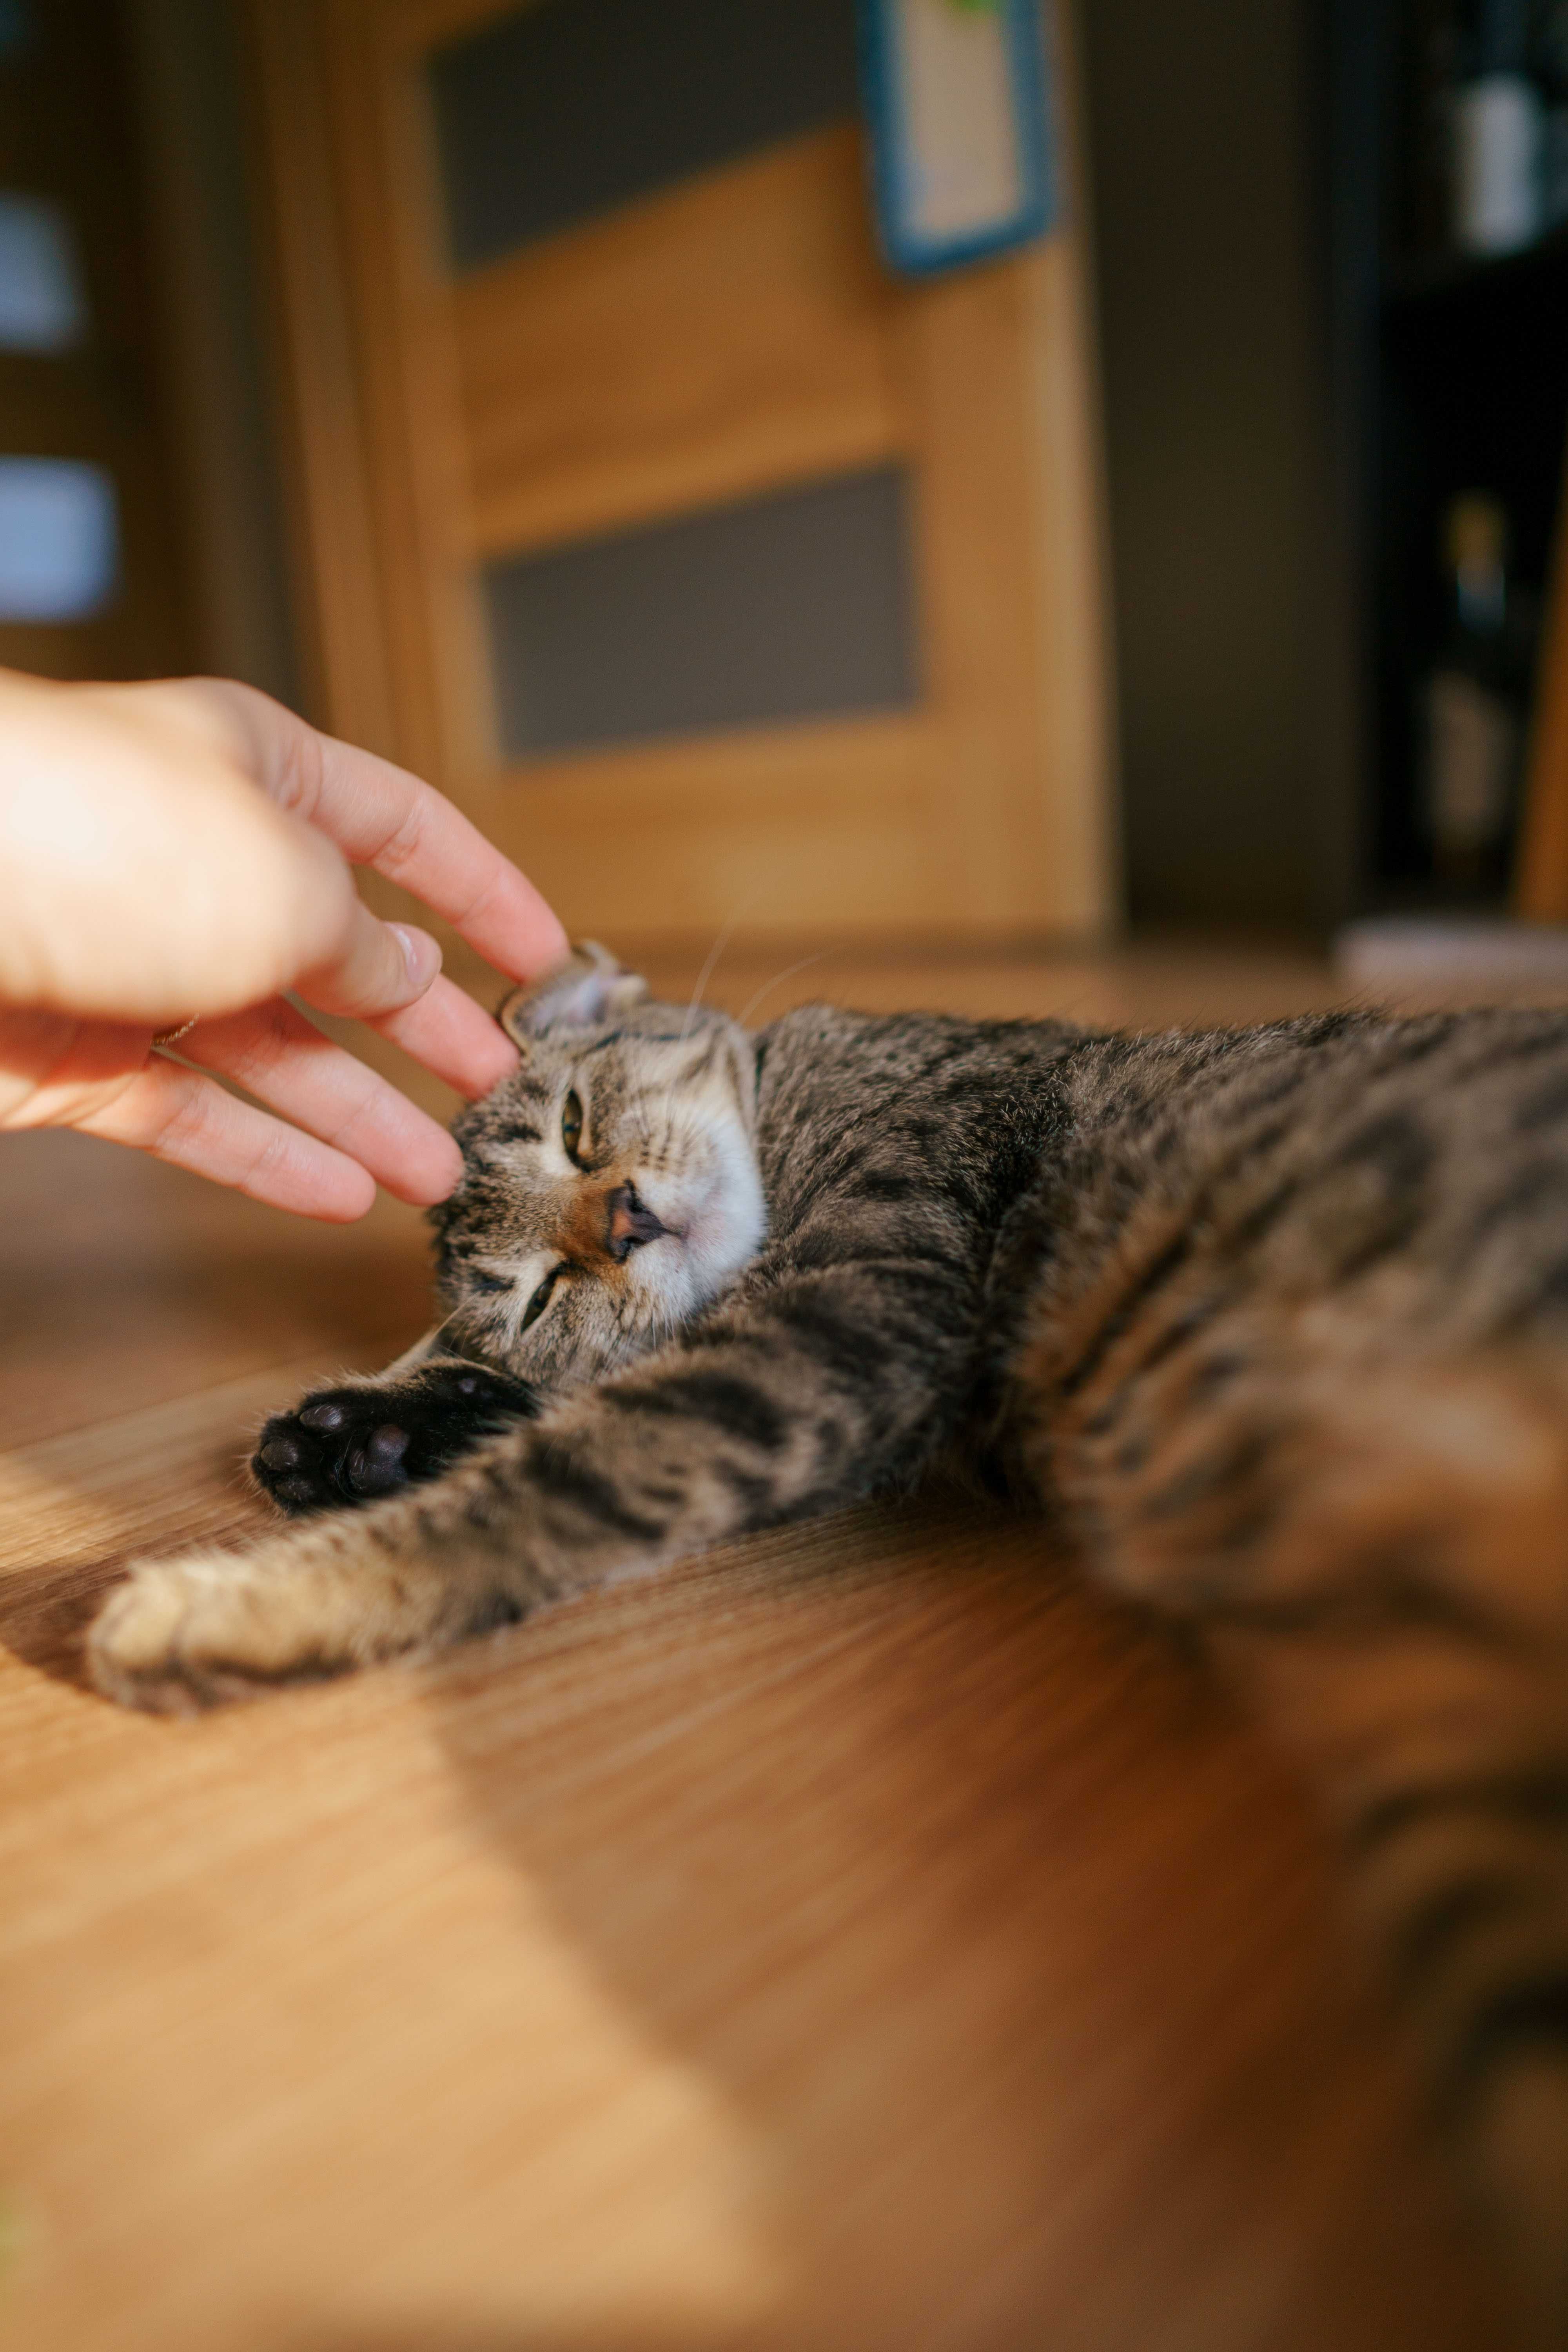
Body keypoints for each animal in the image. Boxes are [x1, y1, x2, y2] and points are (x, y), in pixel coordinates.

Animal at [89, 936, 1568, 2333]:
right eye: (531, 1288)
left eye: (573, 1122)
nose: (622, 1215)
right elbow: (546, 1412)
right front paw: (358, 1433)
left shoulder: (838, 1320)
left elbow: (554, 1477)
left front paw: (239, 1591)